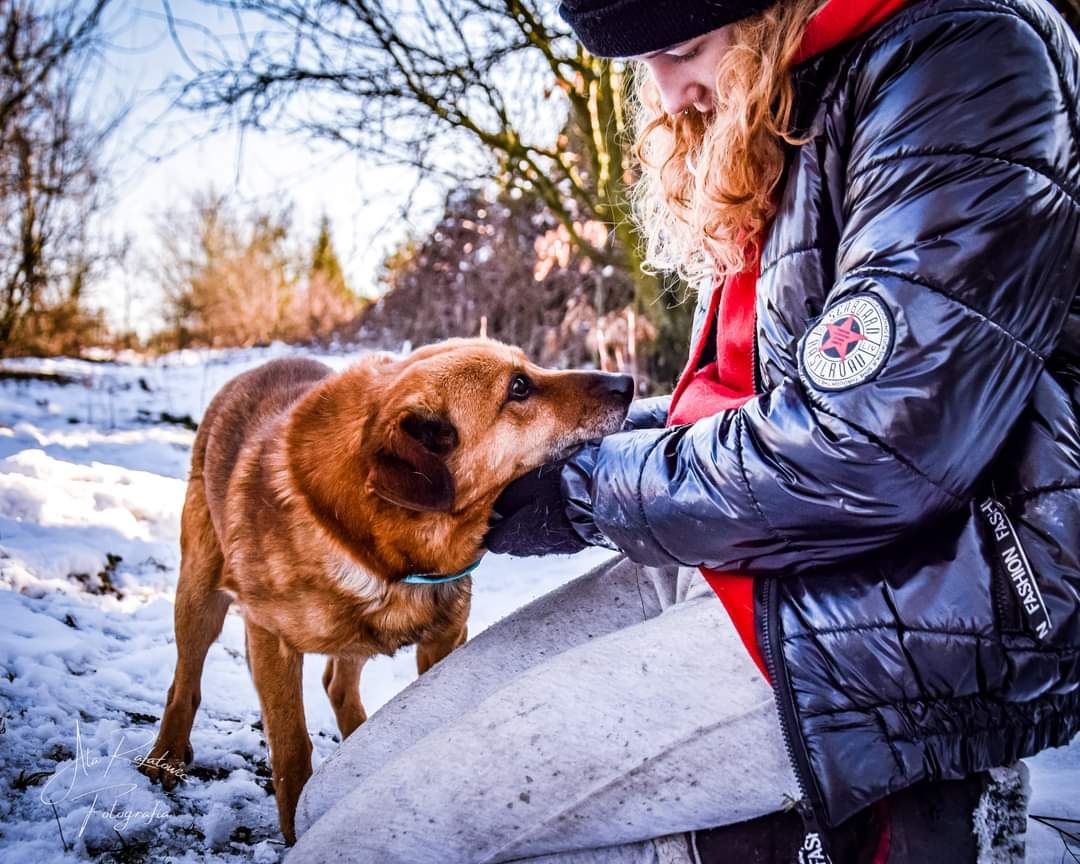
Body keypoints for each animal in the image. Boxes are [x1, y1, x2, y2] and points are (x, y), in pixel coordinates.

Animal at [139, 339, 635, 842]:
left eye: (529, 367)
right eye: (518, 388)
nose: (627, 383)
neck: (387, 550)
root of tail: (262, 366)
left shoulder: (445, 638)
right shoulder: (270, 639)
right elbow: (292, 749)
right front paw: (297, 829)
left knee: (337, 683)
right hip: (200, 592)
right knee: (186, 678)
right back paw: (166, 755)